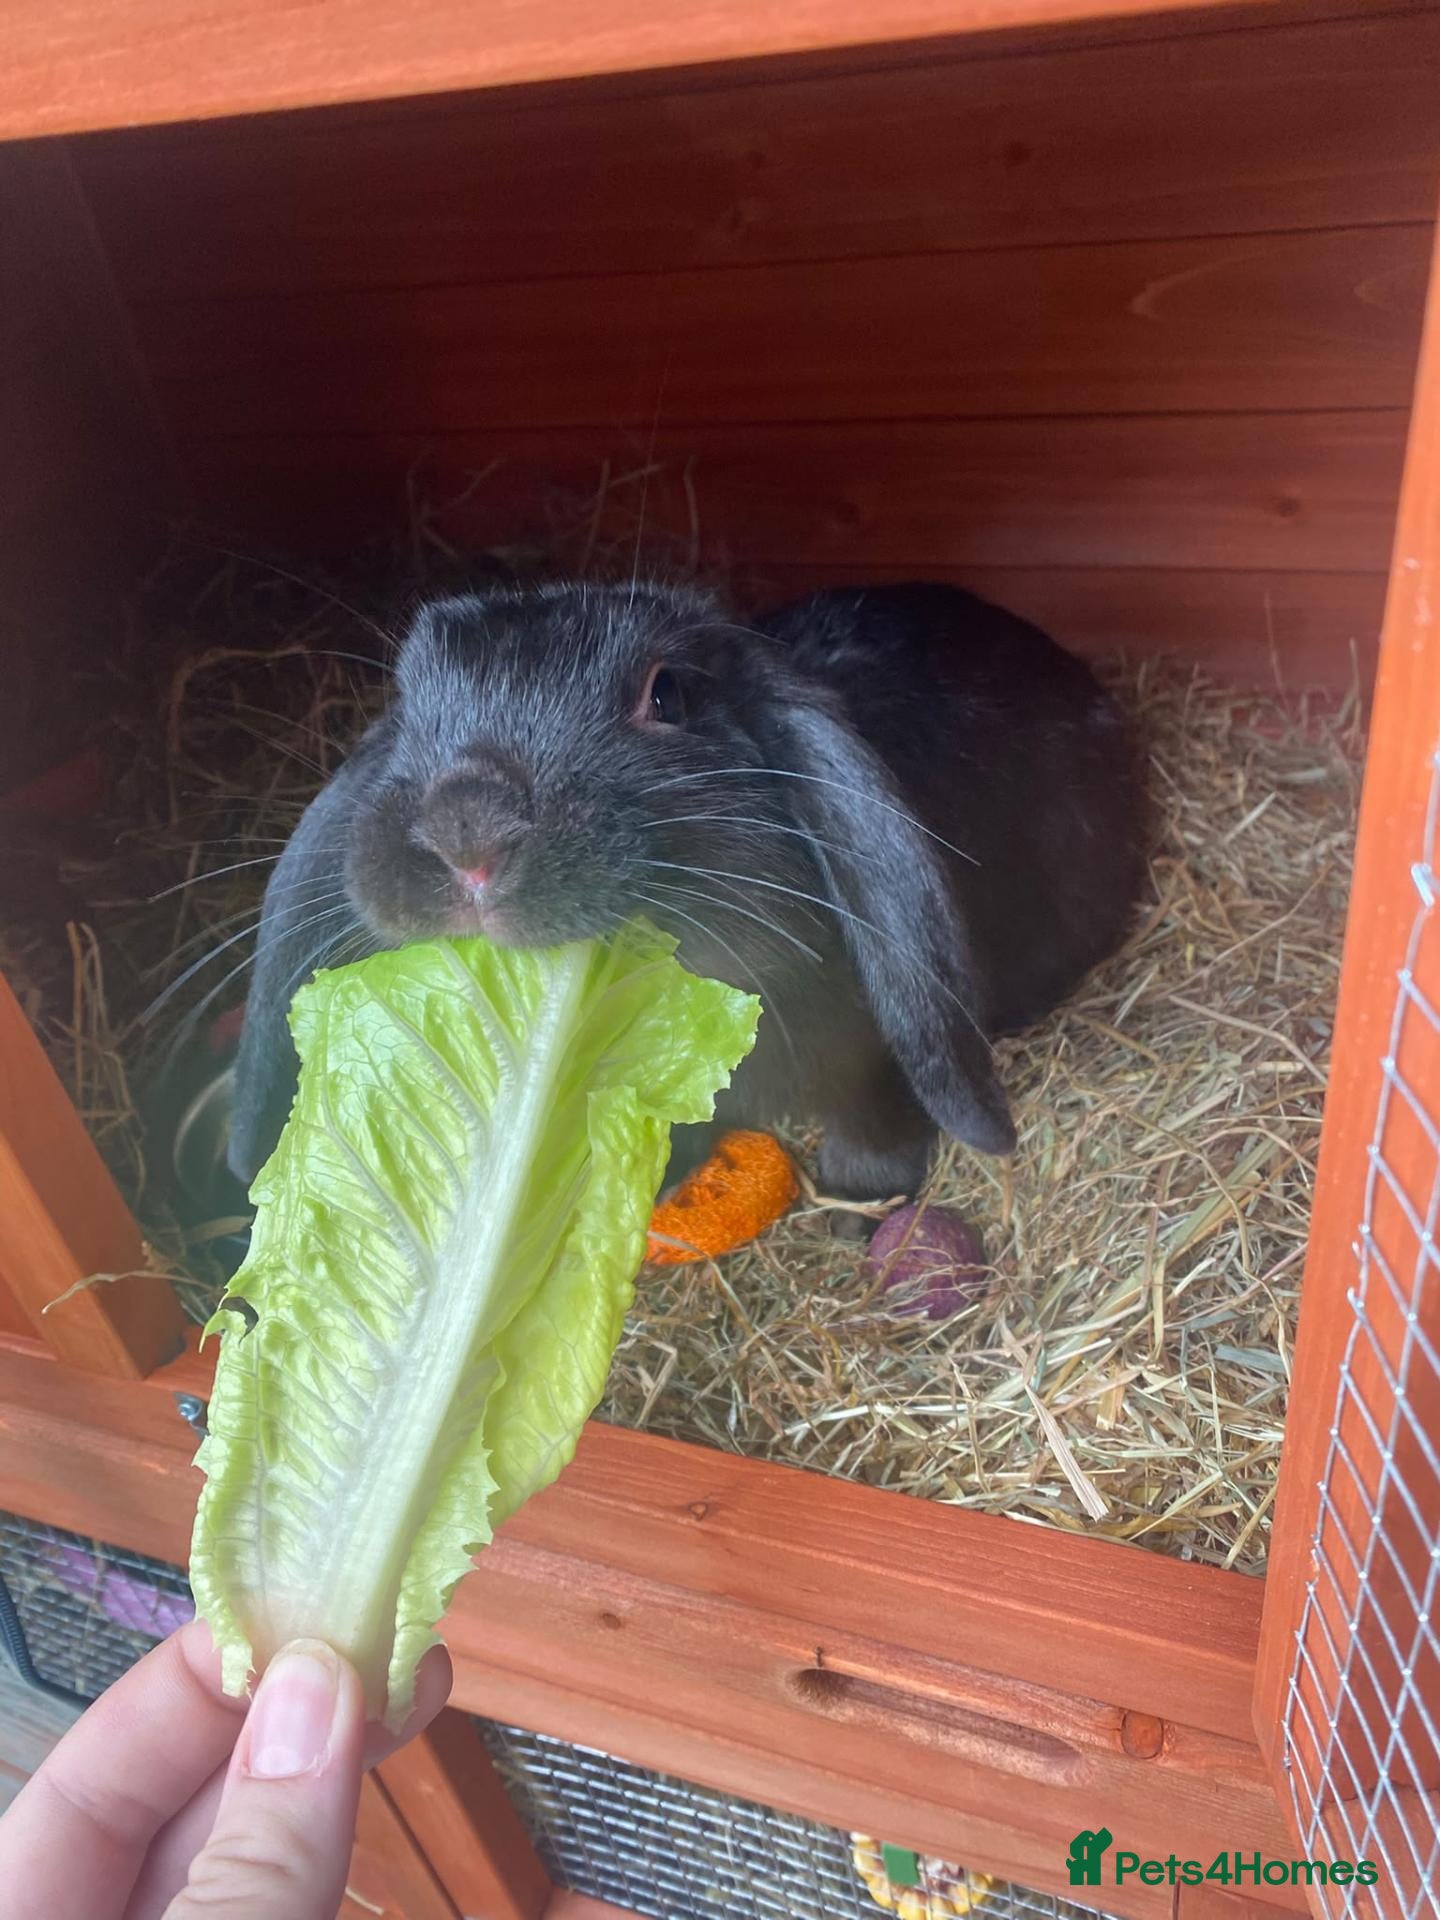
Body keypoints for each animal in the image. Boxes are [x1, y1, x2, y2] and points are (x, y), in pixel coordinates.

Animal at [228, 580, 1143, 1203]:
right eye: (405, 702)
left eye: (667, 693)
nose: (467, 838)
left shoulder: (878, 1053)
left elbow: (878, 1107)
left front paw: (860, 1195)